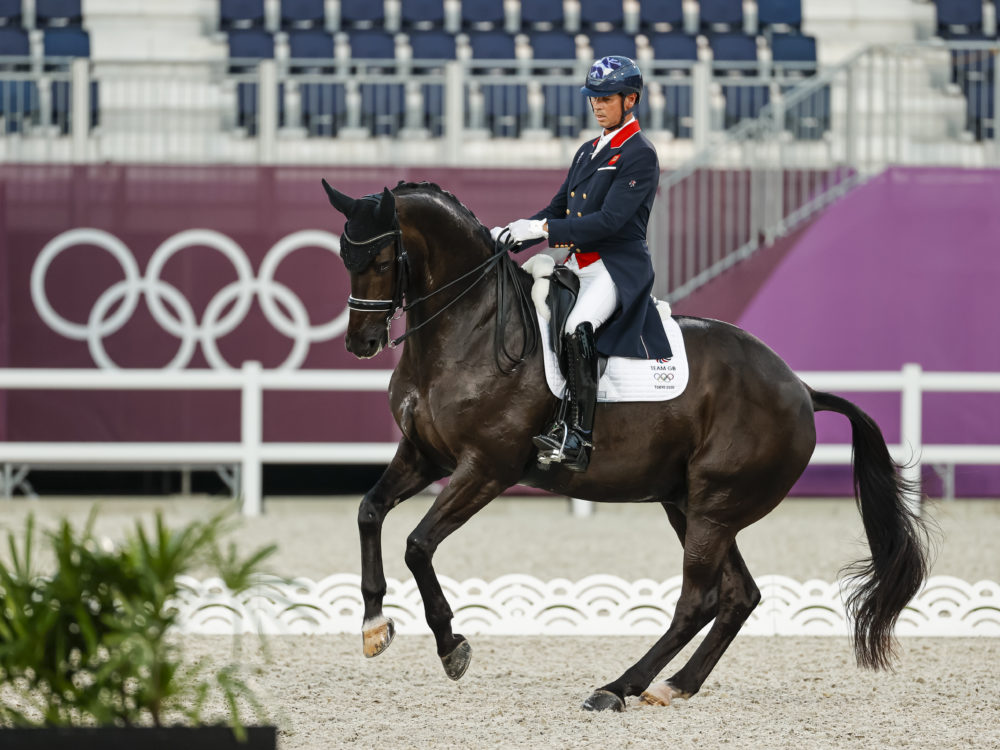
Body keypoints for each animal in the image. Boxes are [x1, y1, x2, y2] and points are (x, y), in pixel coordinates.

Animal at [320, 179, 928, 712]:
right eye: (345, 259)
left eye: (381, 261)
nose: (361, 342)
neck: (470, 327)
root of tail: (800, 389)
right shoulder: (425, 455)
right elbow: (369, 511)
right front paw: (373, 626)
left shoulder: (485, 467)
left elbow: (418, 544)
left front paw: (452, 647)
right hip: (690, 504)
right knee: (739, 597)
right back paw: (673, 687)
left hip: (714, 507)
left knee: (699, 600)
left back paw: (618, 687)